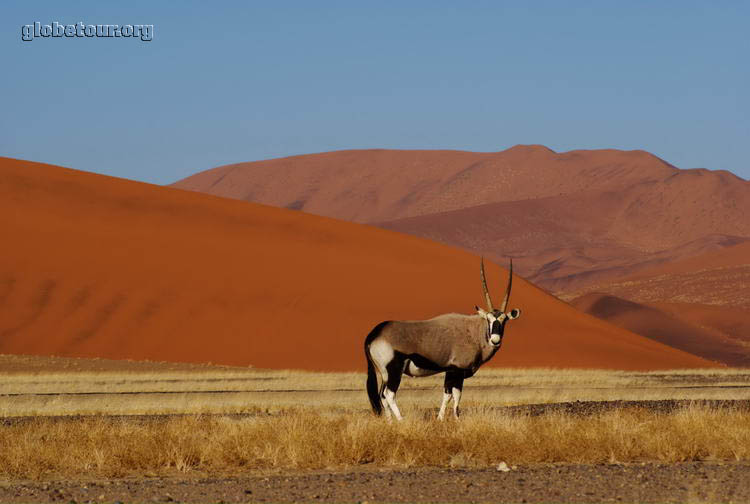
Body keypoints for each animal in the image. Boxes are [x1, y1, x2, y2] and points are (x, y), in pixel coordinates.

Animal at [366, 258, 524, 420]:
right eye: (489, 319)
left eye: (504, 320)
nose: (495, 340)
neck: (474, 331)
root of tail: (375, 334)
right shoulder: (458, 370)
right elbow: (456, 395)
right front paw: (457, 419)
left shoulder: (450, 370)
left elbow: (447, 395)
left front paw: (440, 419)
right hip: (394, 371)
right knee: (389, 394)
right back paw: (401, 420)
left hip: (384, 374)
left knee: (382, 395)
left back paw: (389, 421)